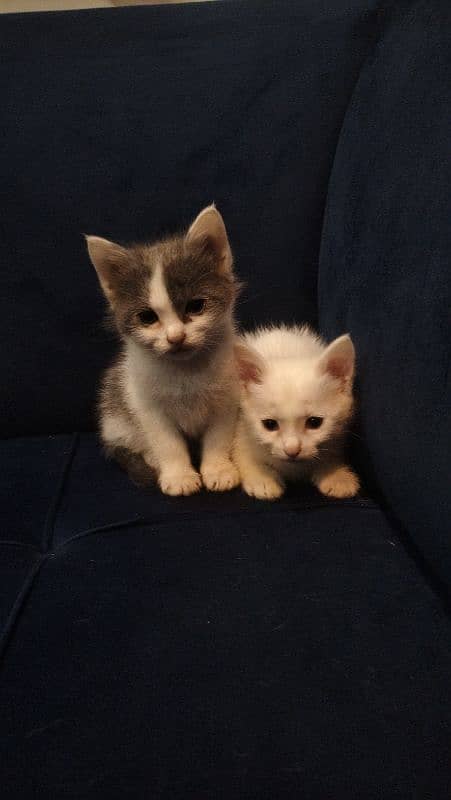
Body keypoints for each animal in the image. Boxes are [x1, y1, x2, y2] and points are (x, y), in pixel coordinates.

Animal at [85, 205, 240, 494]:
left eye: (196, 306)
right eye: (147, 317)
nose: (175, 337)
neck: (186, 371)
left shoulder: (227, 396)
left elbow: (218, 436)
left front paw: (218, 469)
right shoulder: (146, 404)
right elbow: (167, 442)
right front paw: (179, 476)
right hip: (116, 414)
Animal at [233, 324, 360, 500]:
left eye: (314, 422)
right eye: (270, 424)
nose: (292, 450)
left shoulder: (339, 434)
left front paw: (336, 476)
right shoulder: (243, 425)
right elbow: (242, 453)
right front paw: (262, 477)